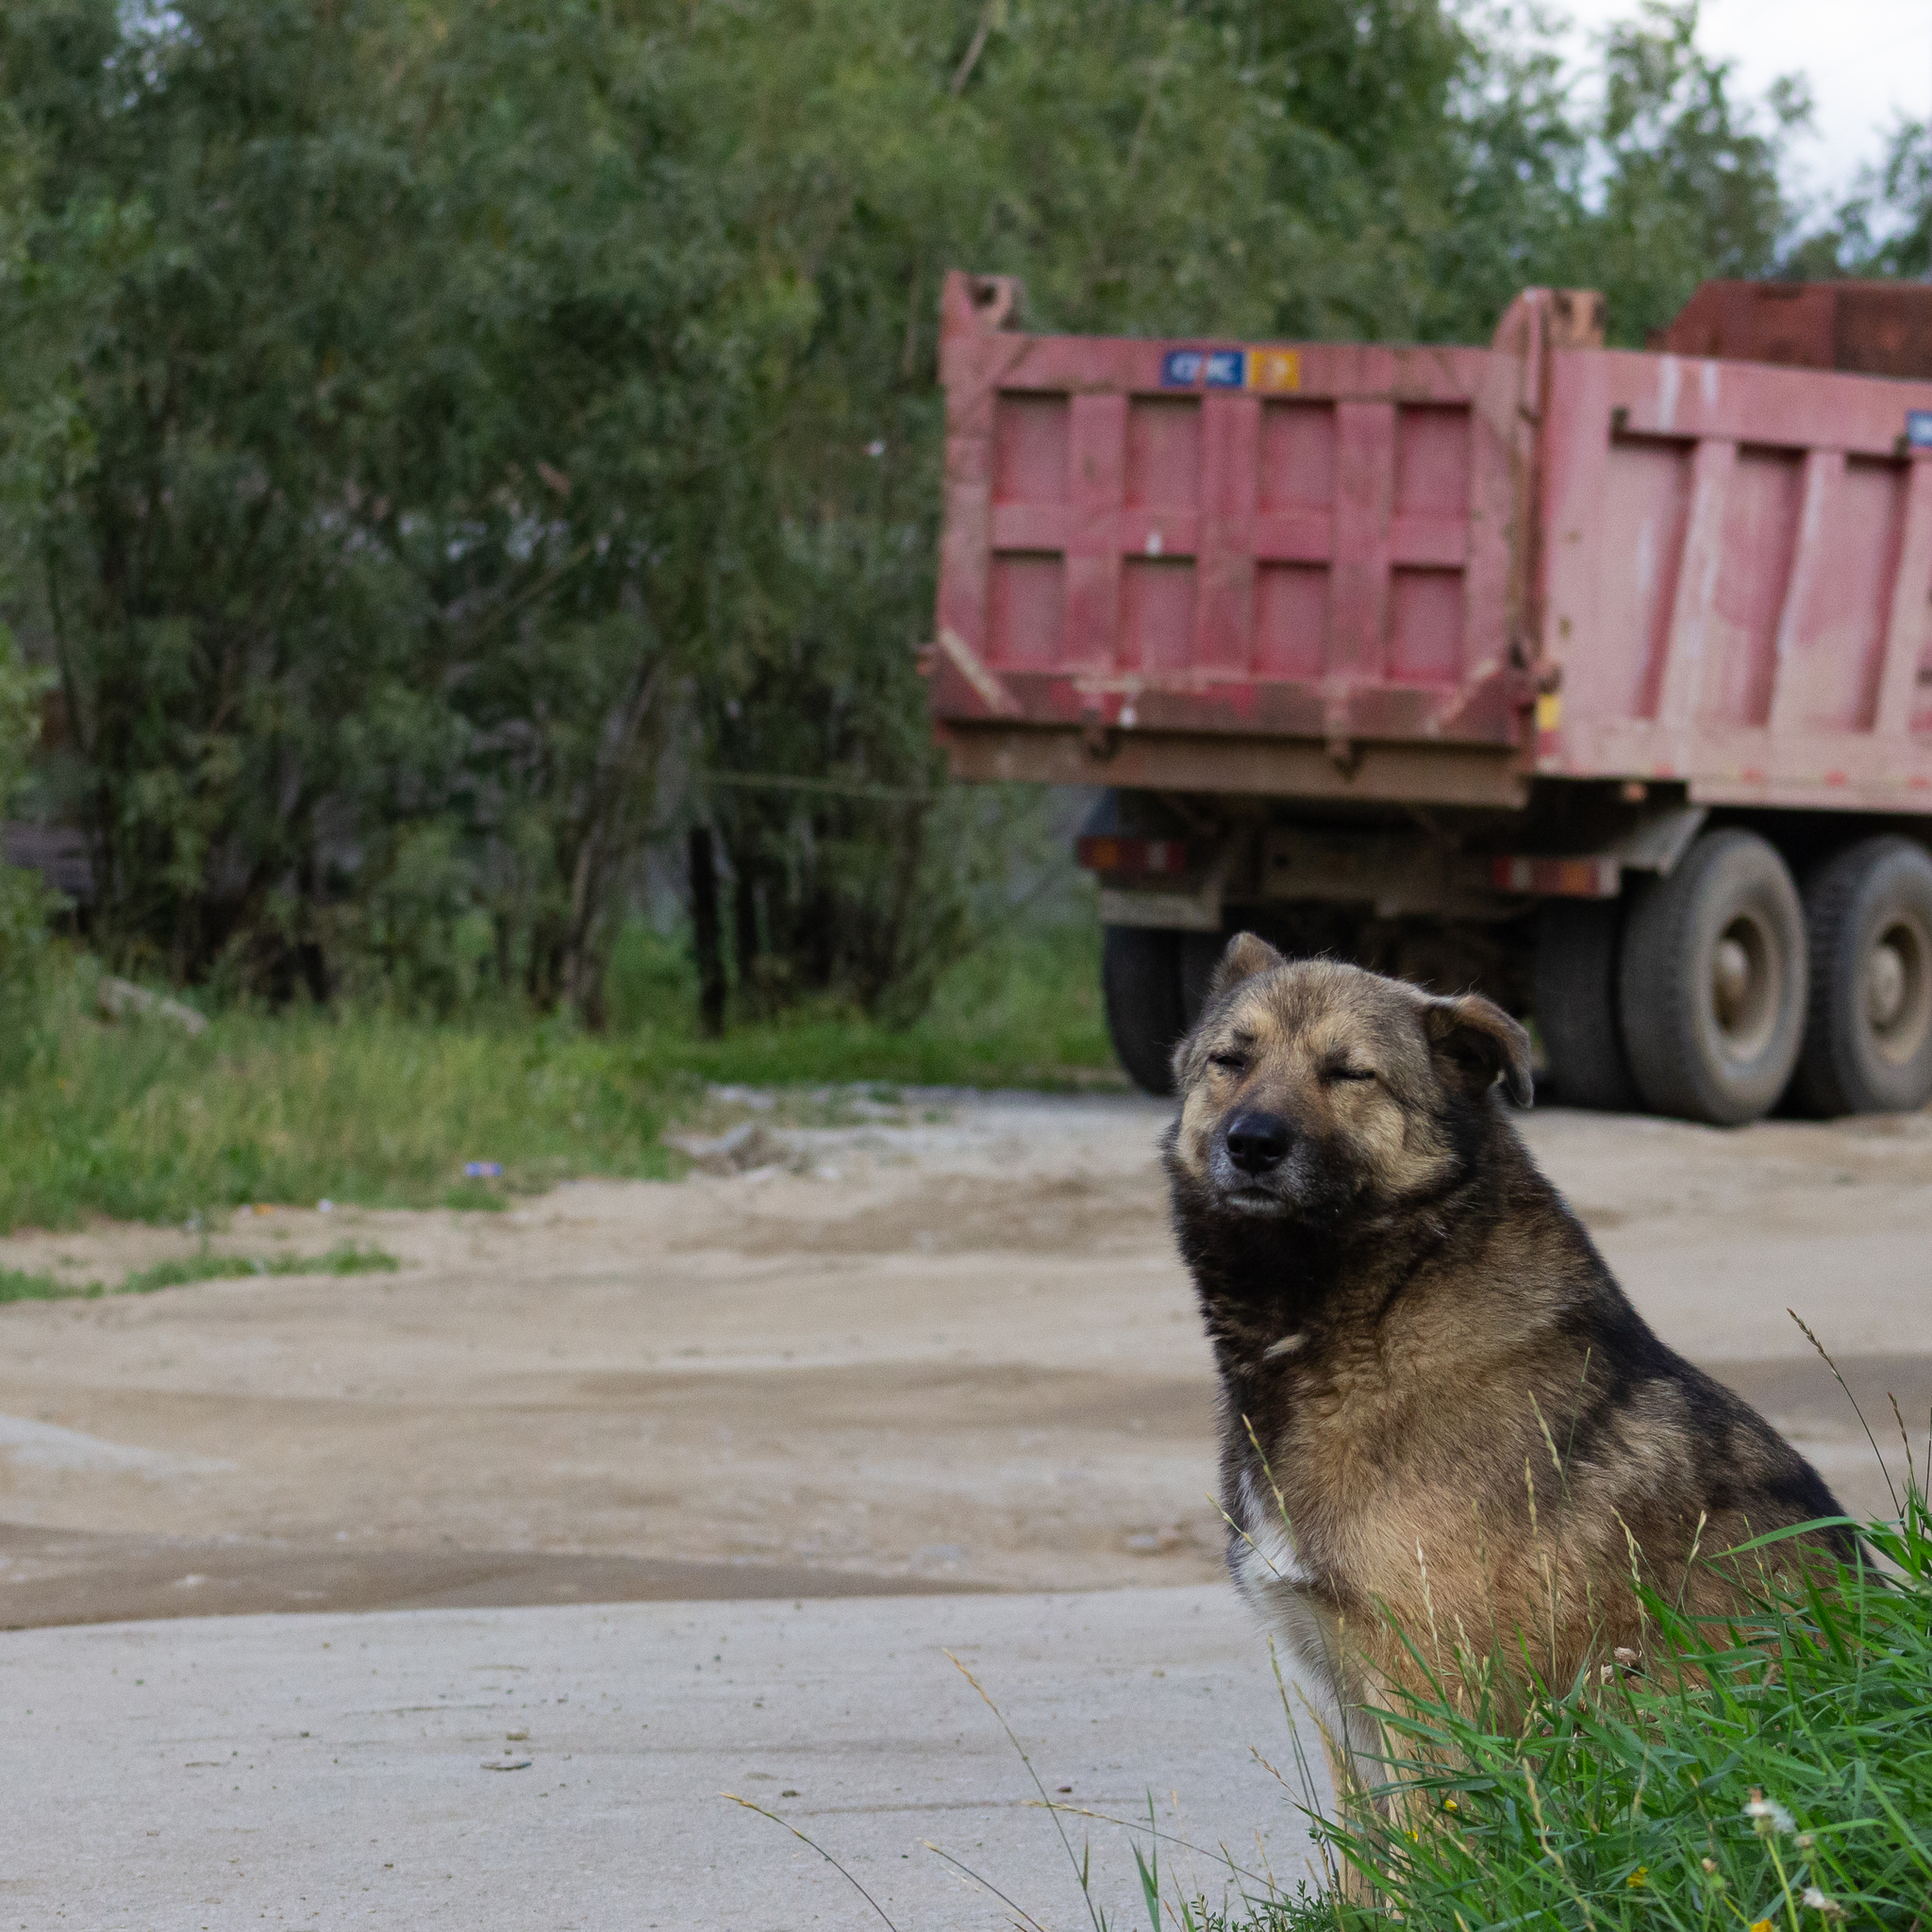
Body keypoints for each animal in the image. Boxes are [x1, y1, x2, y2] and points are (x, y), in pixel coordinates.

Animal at [1158, 942, 1855, 1816]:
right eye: (1231, 1061)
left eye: (1350, 1073)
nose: (1252, 1142)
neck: (1385, 1301)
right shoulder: (1341, 1700)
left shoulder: (1429, 1695)